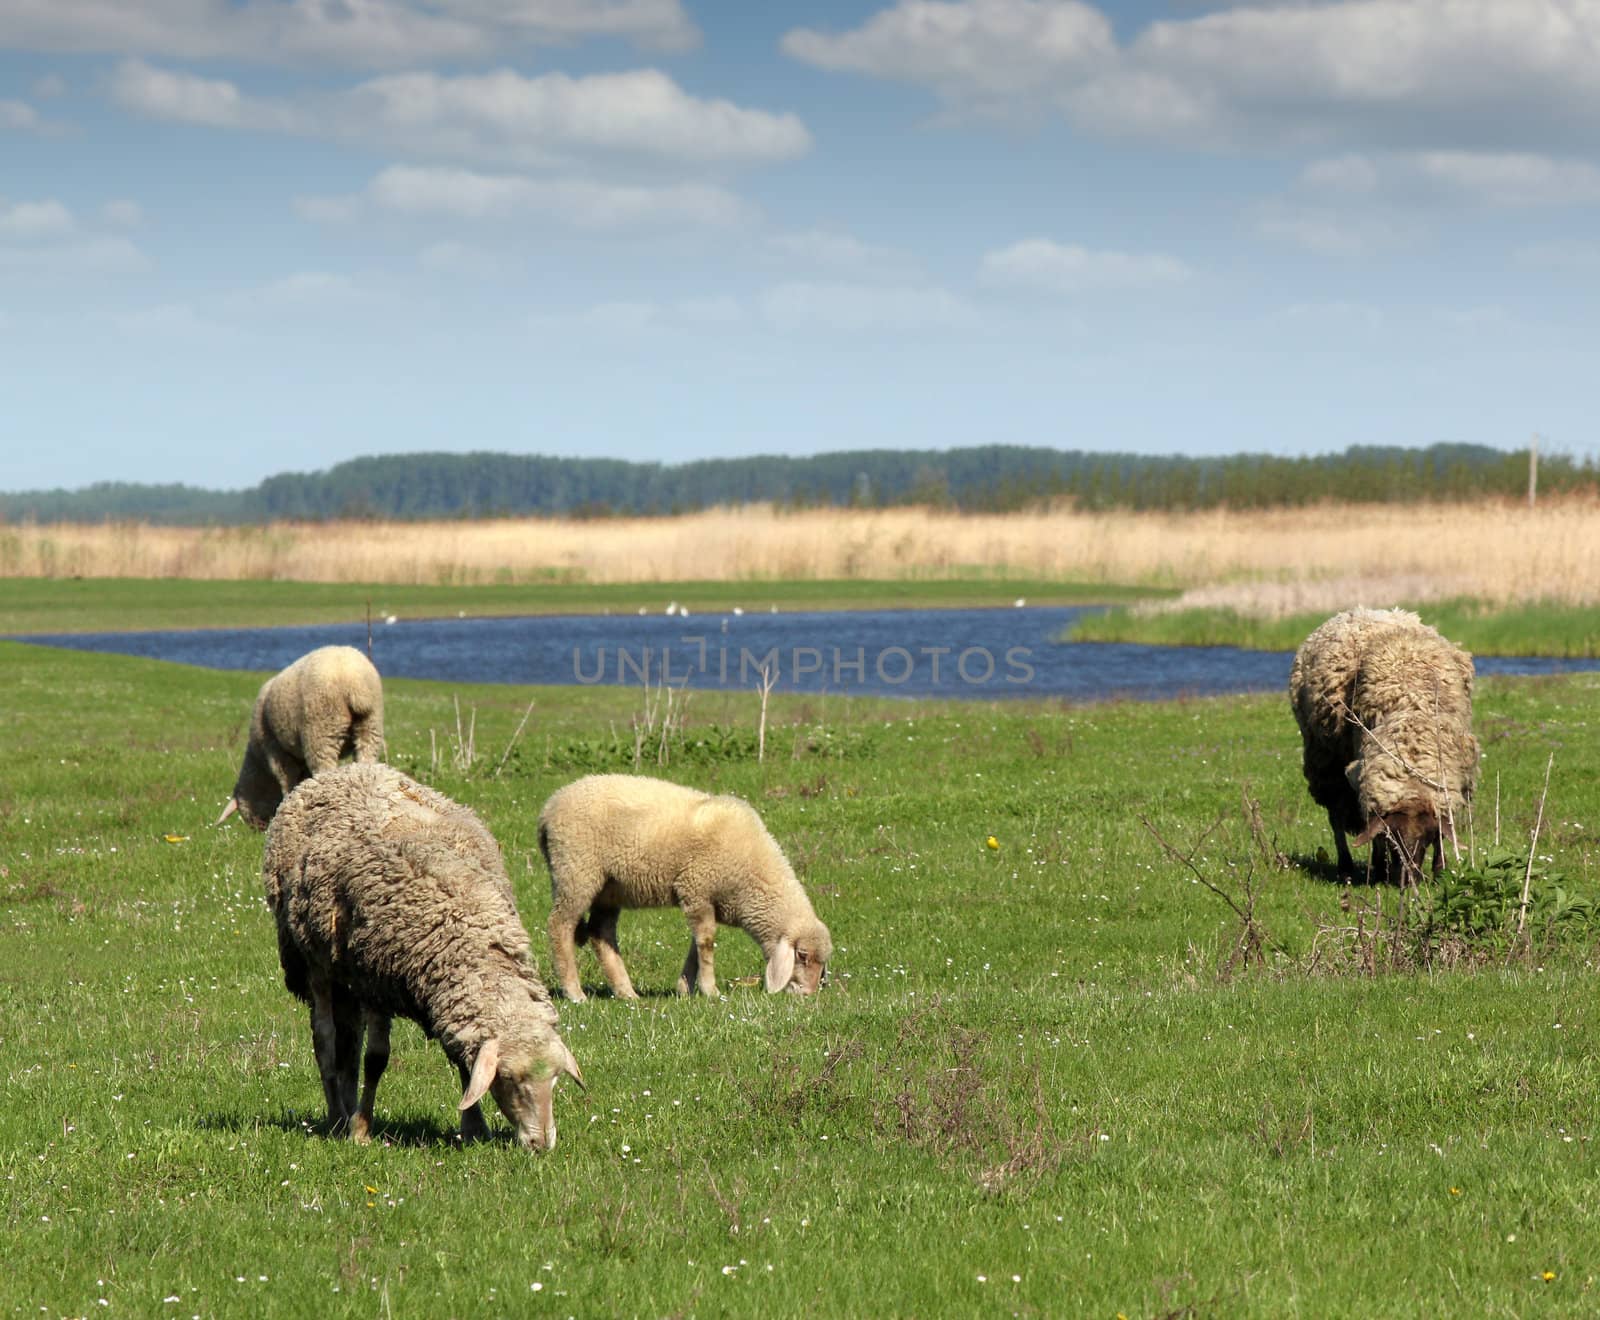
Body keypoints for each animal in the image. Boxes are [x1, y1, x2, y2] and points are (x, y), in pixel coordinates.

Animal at [219, 646, 384, 832]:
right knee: (366, 762)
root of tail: (354, 683)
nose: (259, 829)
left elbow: (287, 783)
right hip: (370, 726)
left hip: (321, 731)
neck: (259, 762)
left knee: (324, 770)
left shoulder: (276, 752)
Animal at [262, 758, 582, 1145]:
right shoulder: (376, 981)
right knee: (326, 1040)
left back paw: (347, 1105)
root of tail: (341, 771)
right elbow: (376, 1059)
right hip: (315, 962)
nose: (542, 1144)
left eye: (554, 1078)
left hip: (346, 980)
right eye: (508, 1079)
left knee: (348, 1044)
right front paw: (361, 1130)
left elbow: (461, 1061)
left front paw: (473, 1128)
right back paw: (339, 1116)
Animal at [540, 771, 832, 998]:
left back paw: (626, 992)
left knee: (601, 933)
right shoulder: (697, 888)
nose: (808, 994)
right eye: (802, 955)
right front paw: (710, 990)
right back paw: (574, 992)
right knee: (560, 925)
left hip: (609, 889)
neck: (752, 876)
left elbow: (696, 945)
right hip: (576, 871)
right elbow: (706, 942)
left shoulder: (704, 900)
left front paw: (685, 988)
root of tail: (548, 809)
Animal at [1286, 611, 1472, 883]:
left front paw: (1440, 869)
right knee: (1336, 816)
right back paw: (1347, 866)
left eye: (1426, 838)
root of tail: (1359, 610)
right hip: (1326, 764)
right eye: (1391, 837)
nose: (1408, 880)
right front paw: (1381, 867)